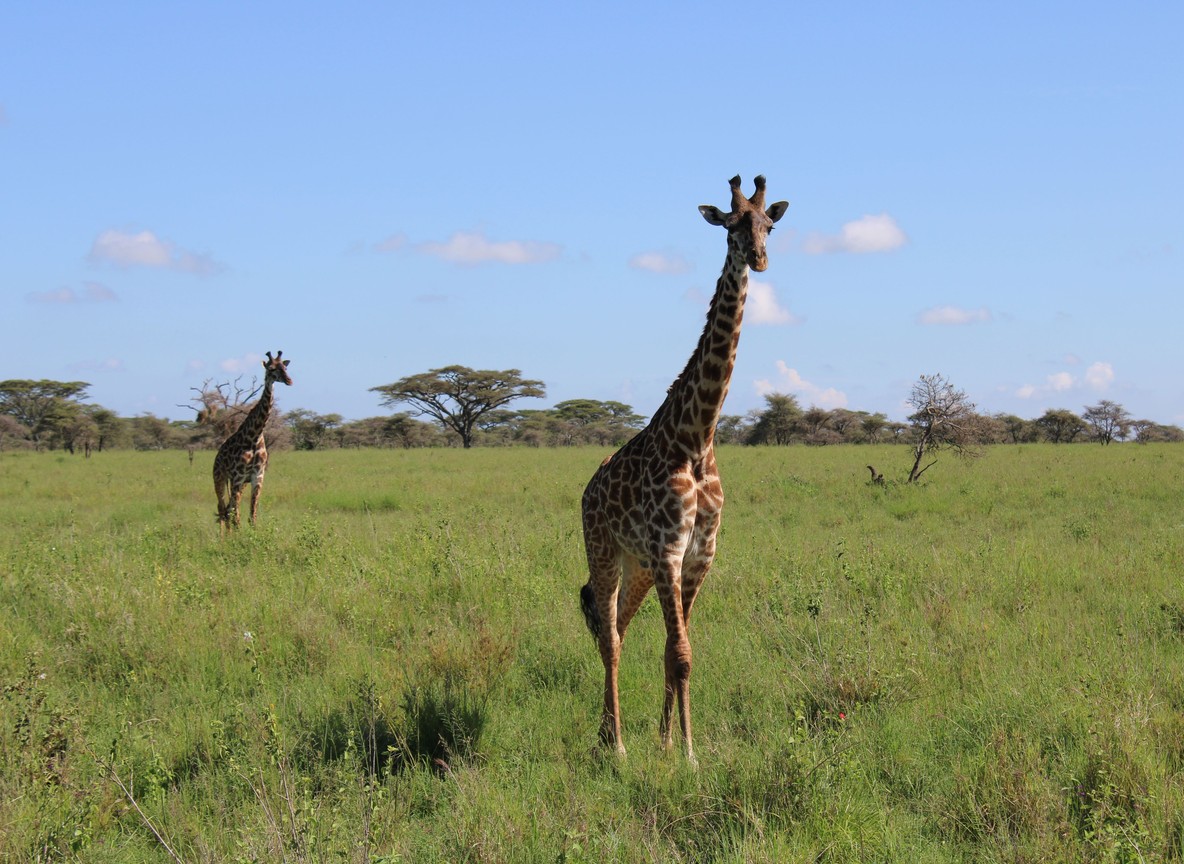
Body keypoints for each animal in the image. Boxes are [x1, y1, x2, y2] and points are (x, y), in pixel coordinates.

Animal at [213, 350, 292, 534]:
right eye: (271, 369)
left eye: (285, 367)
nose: (289, 380)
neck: (254, 436)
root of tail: (217, 456)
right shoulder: (237, 476)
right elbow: (237, 516)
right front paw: (239, 538)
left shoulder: (257, 476)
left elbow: (252, 515)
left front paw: (253, 536)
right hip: (220, 478)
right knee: (222, 508)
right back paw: (222, 538)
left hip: (240, 483)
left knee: (228, 509)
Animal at [580, 175, 788, 763]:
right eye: (731, 225)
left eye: (768, 225)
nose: (760, 259)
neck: (696, 438)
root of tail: (587, 489)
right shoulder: (670, 550)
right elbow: (681, 653)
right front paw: (689, 756)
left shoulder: (699, 554)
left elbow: (677, 652)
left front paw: (670, 742)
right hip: (605, 551)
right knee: (607, 634)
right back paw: (616, 746)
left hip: (637, 564)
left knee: (619, 629)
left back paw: (608, 734)